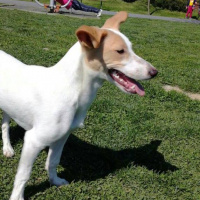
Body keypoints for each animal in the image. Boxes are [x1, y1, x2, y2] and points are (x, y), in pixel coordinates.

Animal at [0, 11, 158, 199]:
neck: (73, 89)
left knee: (4, 124)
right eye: (120, 51)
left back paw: (7, 148)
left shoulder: (63, 136)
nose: (155, 72)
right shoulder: (33, 140)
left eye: (132, 48)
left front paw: (55, 181)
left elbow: (53, 161)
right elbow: (24, 174)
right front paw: (17, 197)